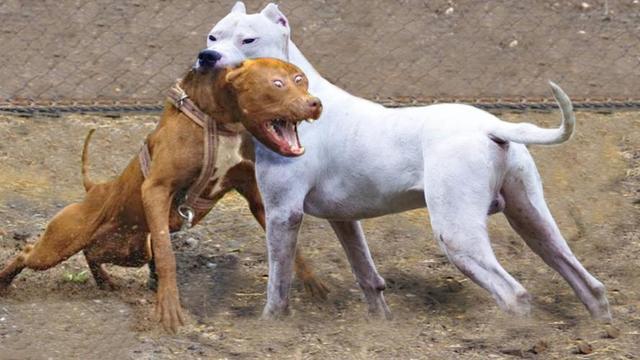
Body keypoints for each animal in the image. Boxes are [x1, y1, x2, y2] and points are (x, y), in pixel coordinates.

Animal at [0, 58, 322, 332]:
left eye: (301, 80)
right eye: (277, 84)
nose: (315, 103)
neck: (220, 121)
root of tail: (95, 188)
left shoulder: (256, 200)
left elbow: (290, 246)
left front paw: (313, 283)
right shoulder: (157, 189)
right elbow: (167, 256)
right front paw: (168, 307)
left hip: (132, 249)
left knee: (92, 253)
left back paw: (105, 282)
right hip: (60, 244)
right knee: (28, 252)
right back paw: (5, 281)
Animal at [202, 1, 612, 322]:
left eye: (248, 40)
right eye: (212, 37)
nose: (207, 58)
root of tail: (490, 125)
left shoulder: (282, 214)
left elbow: (279, 280)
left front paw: (270, 324)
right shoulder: (344, 219)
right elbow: (366, 274)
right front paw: (380, 323)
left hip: (457, 234)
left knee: (514, 294)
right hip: (533, 221)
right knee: (588, 283)